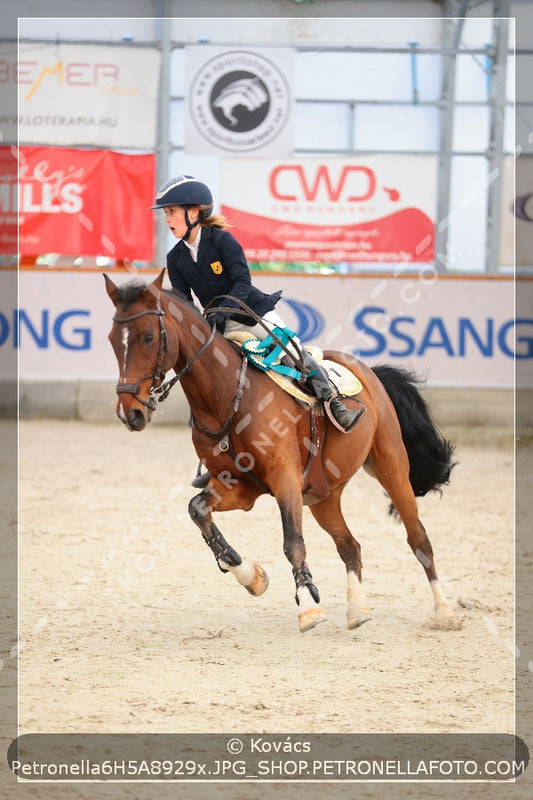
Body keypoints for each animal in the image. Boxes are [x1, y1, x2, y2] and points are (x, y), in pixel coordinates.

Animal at [105, 272, 462, 636]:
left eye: (148, 337)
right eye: (111, 340)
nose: (129, 413)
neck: (227, 396)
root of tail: (370, 371)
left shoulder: (284, 478)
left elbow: (293, 542)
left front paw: (307, 607)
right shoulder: (239, 486)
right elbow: (198, 510)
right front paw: (252, 576)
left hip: (391, 467)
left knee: (419, 540)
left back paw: (444, 612)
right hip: (323, 495)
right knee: (350, 546)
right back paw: (358, 610)